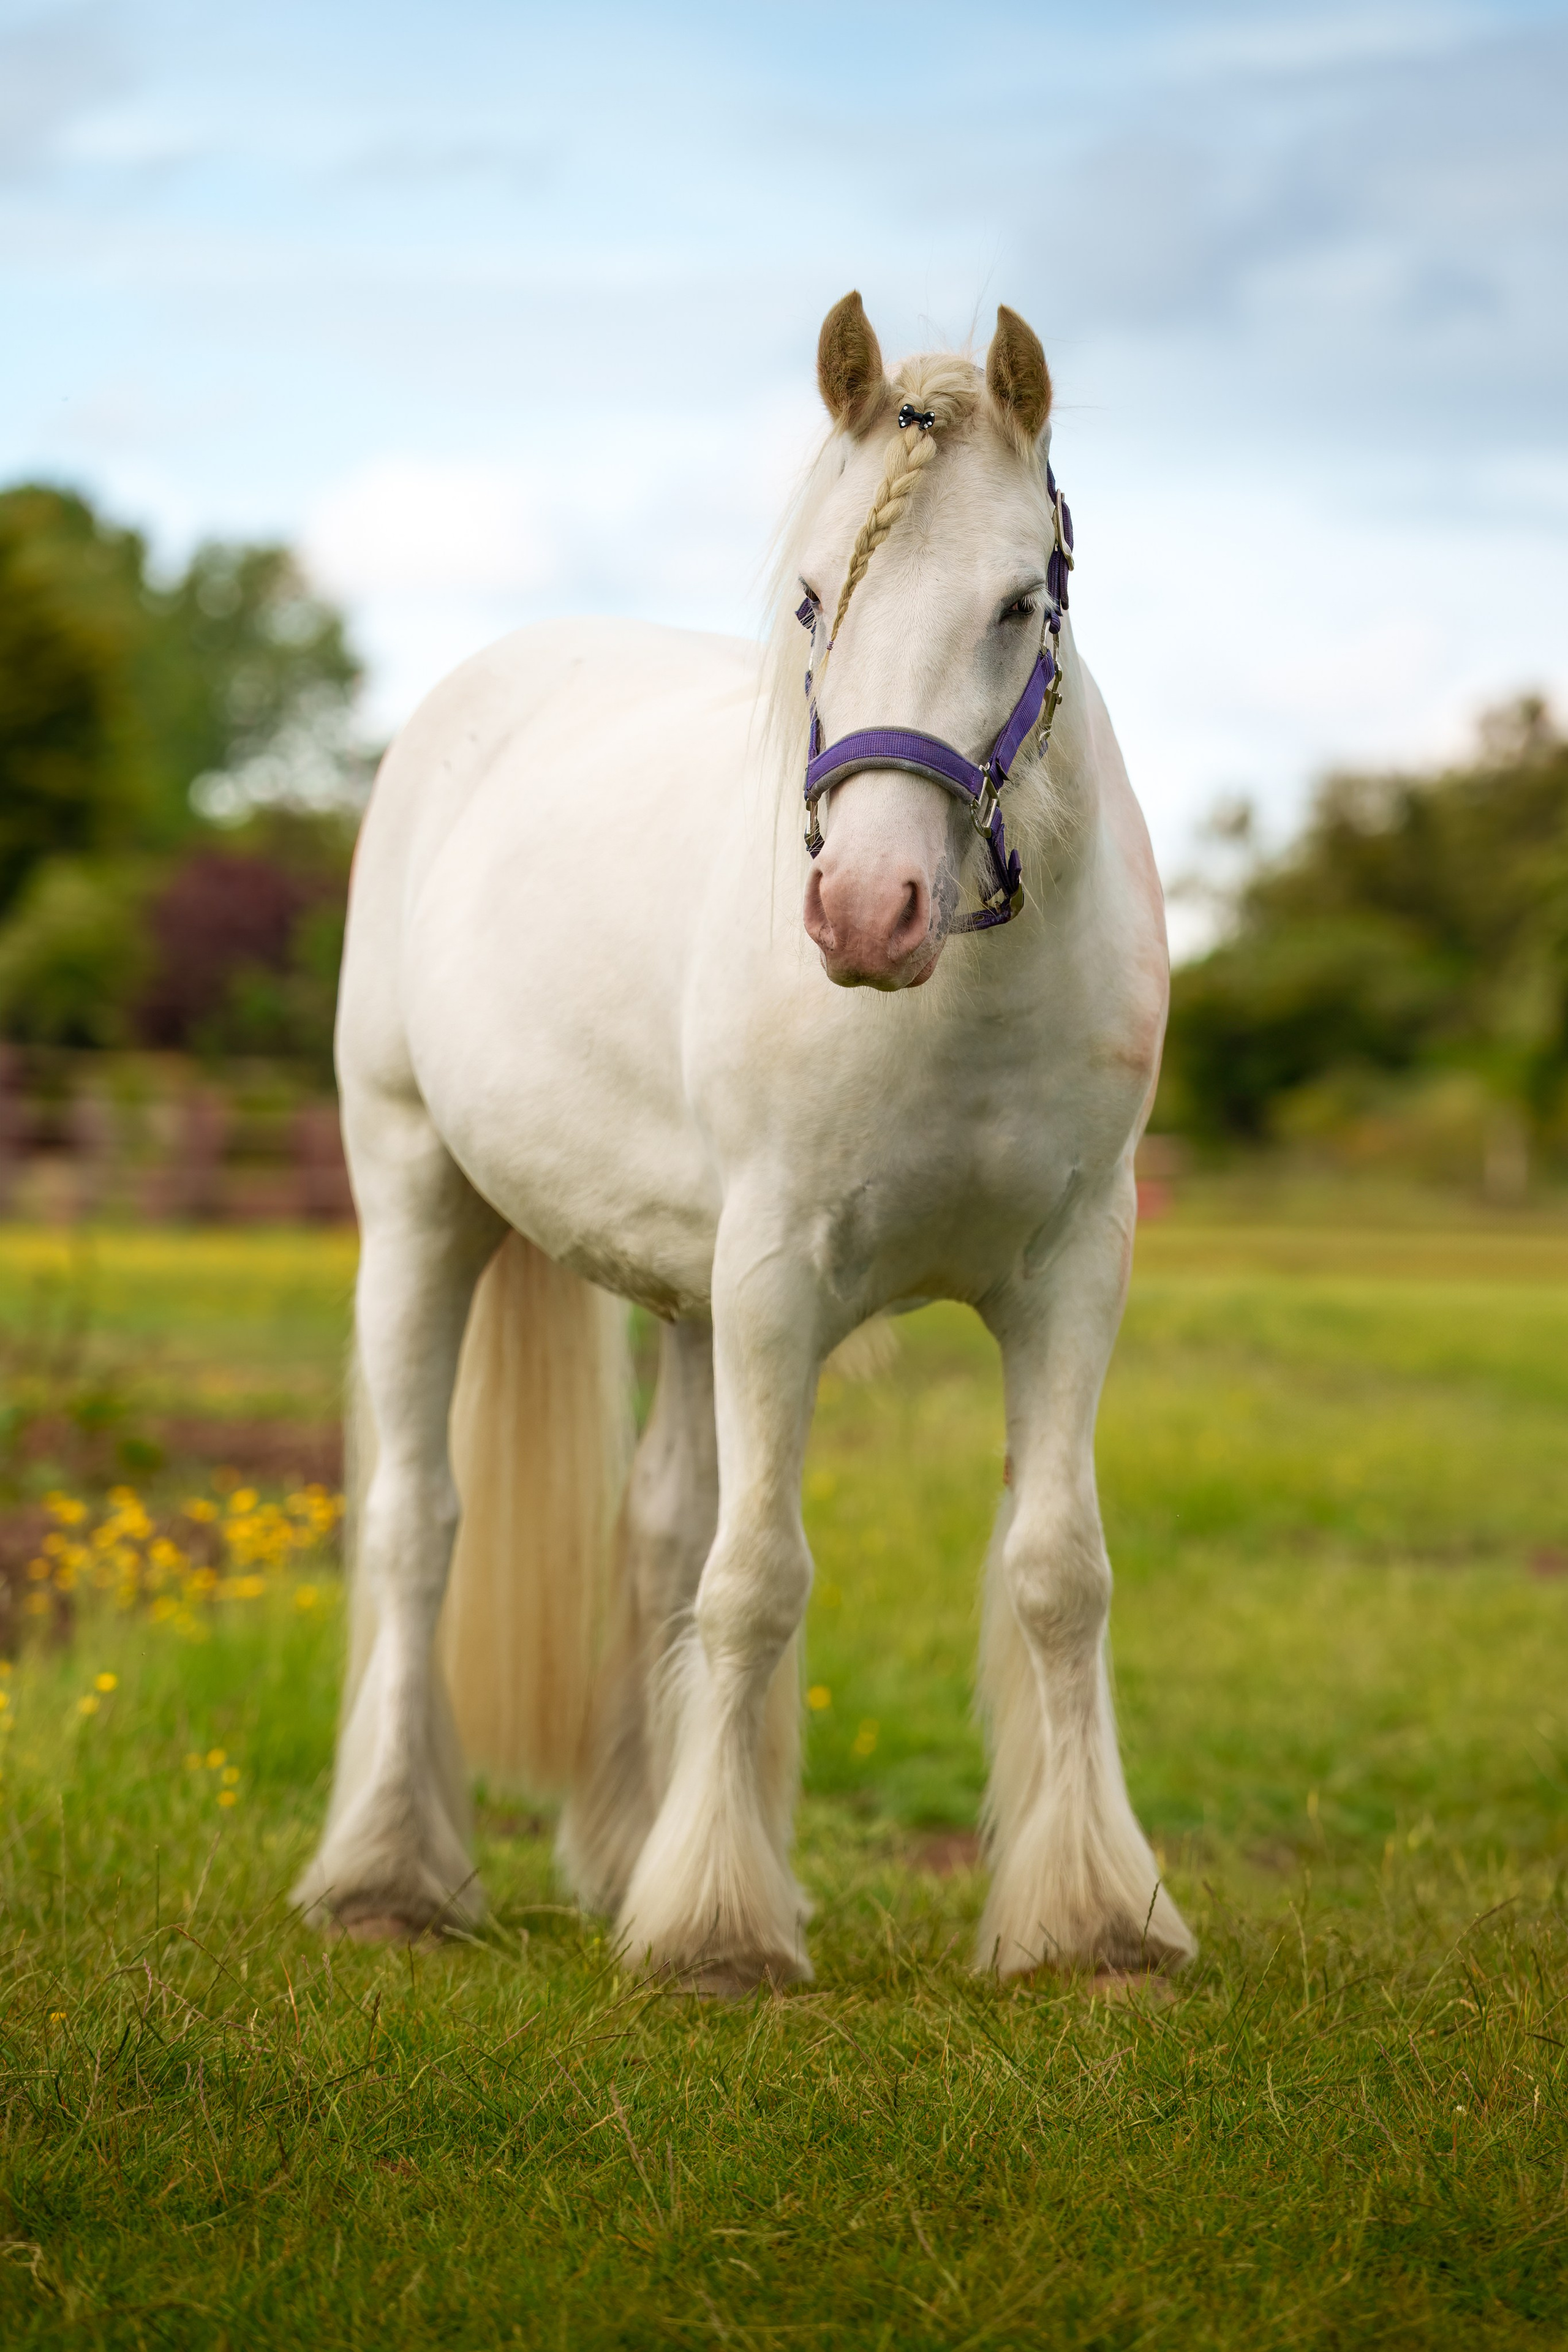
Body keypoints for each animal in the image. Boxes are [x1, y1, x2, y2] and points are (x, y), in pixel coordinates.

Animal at [292, 291, 1197, 1989]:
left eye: (1015, 601)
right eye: (808, 597)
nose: (863, 911)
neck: (959, 997)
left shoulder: (1070, 1275)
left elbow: (1056, 1572)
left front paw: (1094, 1921)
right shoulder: (777, 1271)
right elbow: (760, 1576)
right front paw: (717, 1932)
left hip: (681, 1288)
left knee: (655, 1534)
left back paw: (621, 1848)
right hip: (420, 1203)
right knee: (416, 1524)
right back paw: (386, 1870)